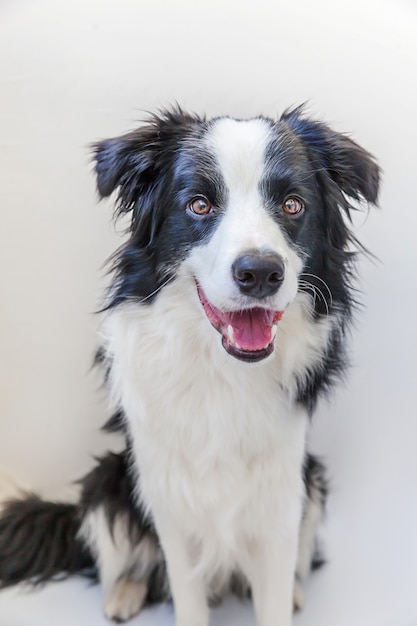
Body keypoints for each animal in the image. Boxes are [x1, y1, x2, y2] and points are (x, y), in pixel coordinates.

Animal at [0, 107, 378, 624]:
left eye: (293, 205)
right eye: (199, 205)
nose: (260, 272)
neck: (223, 371)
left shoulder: (280, 496)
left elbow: (274, 596)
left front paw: (284, 598)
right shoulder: (168, 497)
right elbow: (184, 591)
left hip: (313, 481)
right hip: (107, 482)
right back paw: (124, 594)